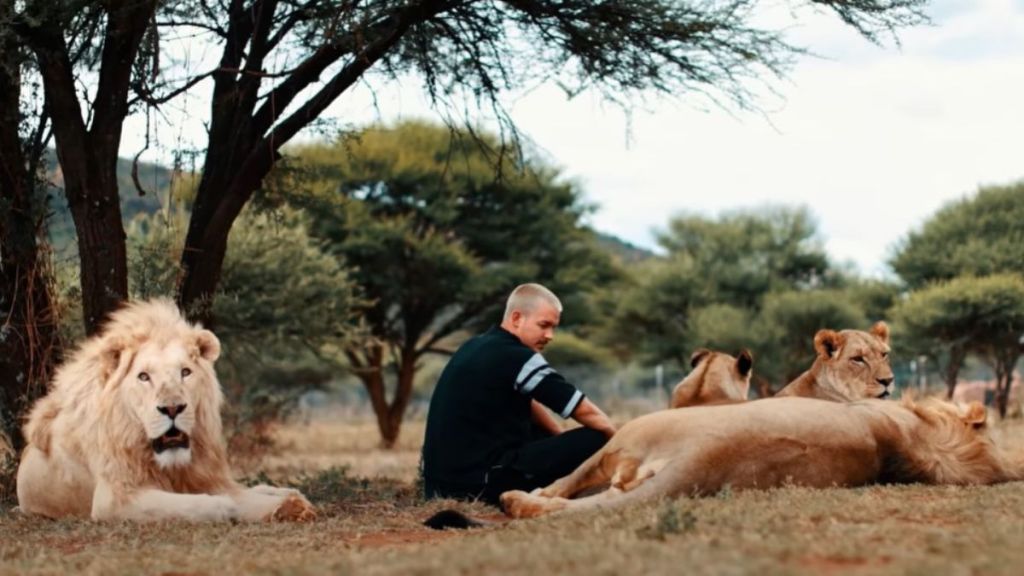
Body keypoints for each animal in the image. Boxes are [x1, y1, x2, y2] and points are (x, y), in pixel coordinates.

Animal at [17, 301, 315, 520]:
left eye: (185, 372)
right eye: (144, 376)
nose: (172, 408)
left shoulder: (205, 476)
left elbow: (240, 494)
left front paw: (290, 504)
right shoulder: (113, 500)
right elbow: (202, 503)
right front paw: (235, 508)